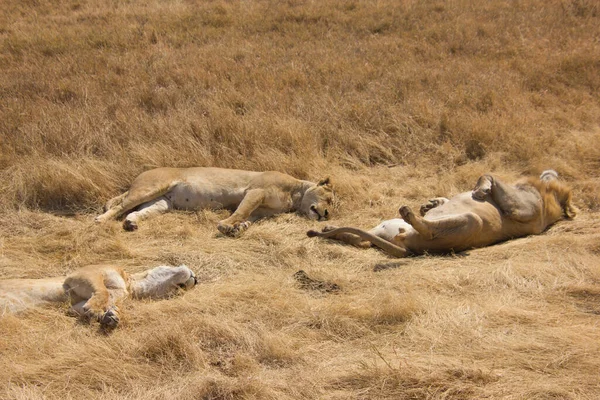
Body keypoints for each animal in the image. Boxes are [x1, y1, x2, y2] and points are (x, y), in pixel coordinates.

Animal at [0, 264, 197, 330]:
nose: (197, 279)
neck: (129, 285)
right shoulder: (82, 273)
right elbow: (102, 292)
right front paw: (96, 310)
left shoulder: (75, 305)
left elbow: (87, 307)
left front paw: (110, 317)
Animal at [96, 167, 336, 236]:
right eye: (329, 199)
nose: (326, 215)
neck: (295, 196)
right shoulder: (256, 191)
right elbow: (240, 211)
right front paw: (225, 225)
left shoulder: (262, 211)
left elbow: (249, 218)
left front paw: (238, 229)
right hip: (150, 188)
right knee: (119, 205)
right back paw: (100, 220)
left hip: (161, 203)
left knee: (136, 212)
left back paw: (131, 223)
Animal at [310, 170, 576, 258]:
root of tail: (409, 249)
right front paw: (430, 204)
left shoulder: (522, 209)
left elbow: (489, 174)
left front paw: (480, 191)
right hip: (383, 227)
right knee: (362, 240)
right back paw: (327, 229)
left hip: (473, 221)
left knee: (427, 230)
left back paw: (410, 214)